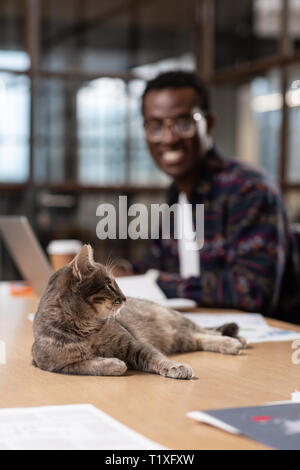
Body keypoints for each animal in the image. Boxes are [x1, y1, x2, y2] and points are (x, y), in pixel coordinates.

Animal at [31, 244, 247, 380]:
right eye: (109, 284)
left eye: (115, 282)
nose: (125, 297)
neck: (87, 329)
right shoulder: (58, 365)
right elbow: (91, 364)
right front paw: (115, 364)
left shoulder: (134, 345)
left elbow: (157, 358)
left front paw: (175, 367)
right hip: (180, 339)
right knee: (199, 338)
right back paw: (233, 341)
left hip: (176, 323)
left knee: (205, 331)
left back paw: (235, 341)